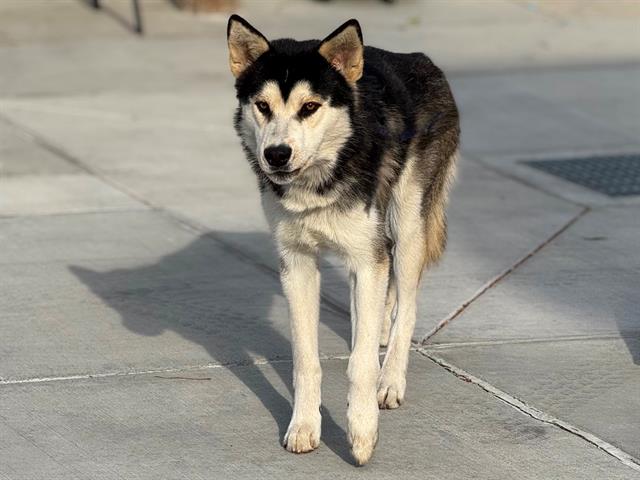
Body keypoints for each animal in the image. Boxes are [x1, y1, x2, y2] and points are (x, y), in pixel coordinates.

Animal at [228, 15, 458, 464]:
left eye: (309, 107)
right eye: (262, 107)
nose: (276, 155)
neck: (319, 179)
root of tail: (419, 59)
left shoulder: (368, 259)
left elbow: (362, 364)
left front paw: (362, 430)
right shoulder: (298, 264)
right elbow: (305, 360)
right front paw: (303, 426)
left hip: (407, 227)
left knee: (406, 307)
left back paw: (391, 379)